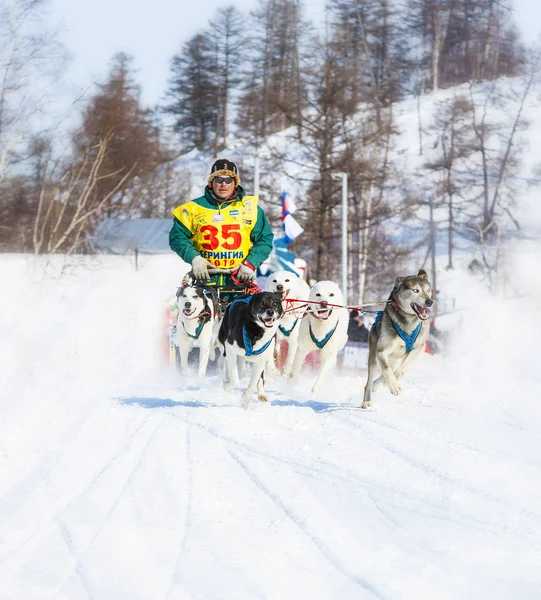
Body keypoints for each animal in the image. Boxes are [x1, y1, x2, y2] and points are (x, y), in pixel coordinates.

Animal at [360, 270, 432, 408]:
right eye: (415, 290)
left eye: (428, 290)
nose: (430, 301)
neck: (408, 322)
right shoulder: (381, 352)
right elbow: (387, 370)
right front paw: (393, 386)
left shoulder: (417, 348)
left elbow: (400, 371)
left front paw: (392, 382)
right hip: (373, 358)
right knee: (369, 383)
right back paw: (367, 400)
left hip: (396, 359)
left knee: (389, 372)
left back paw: (379, 384)